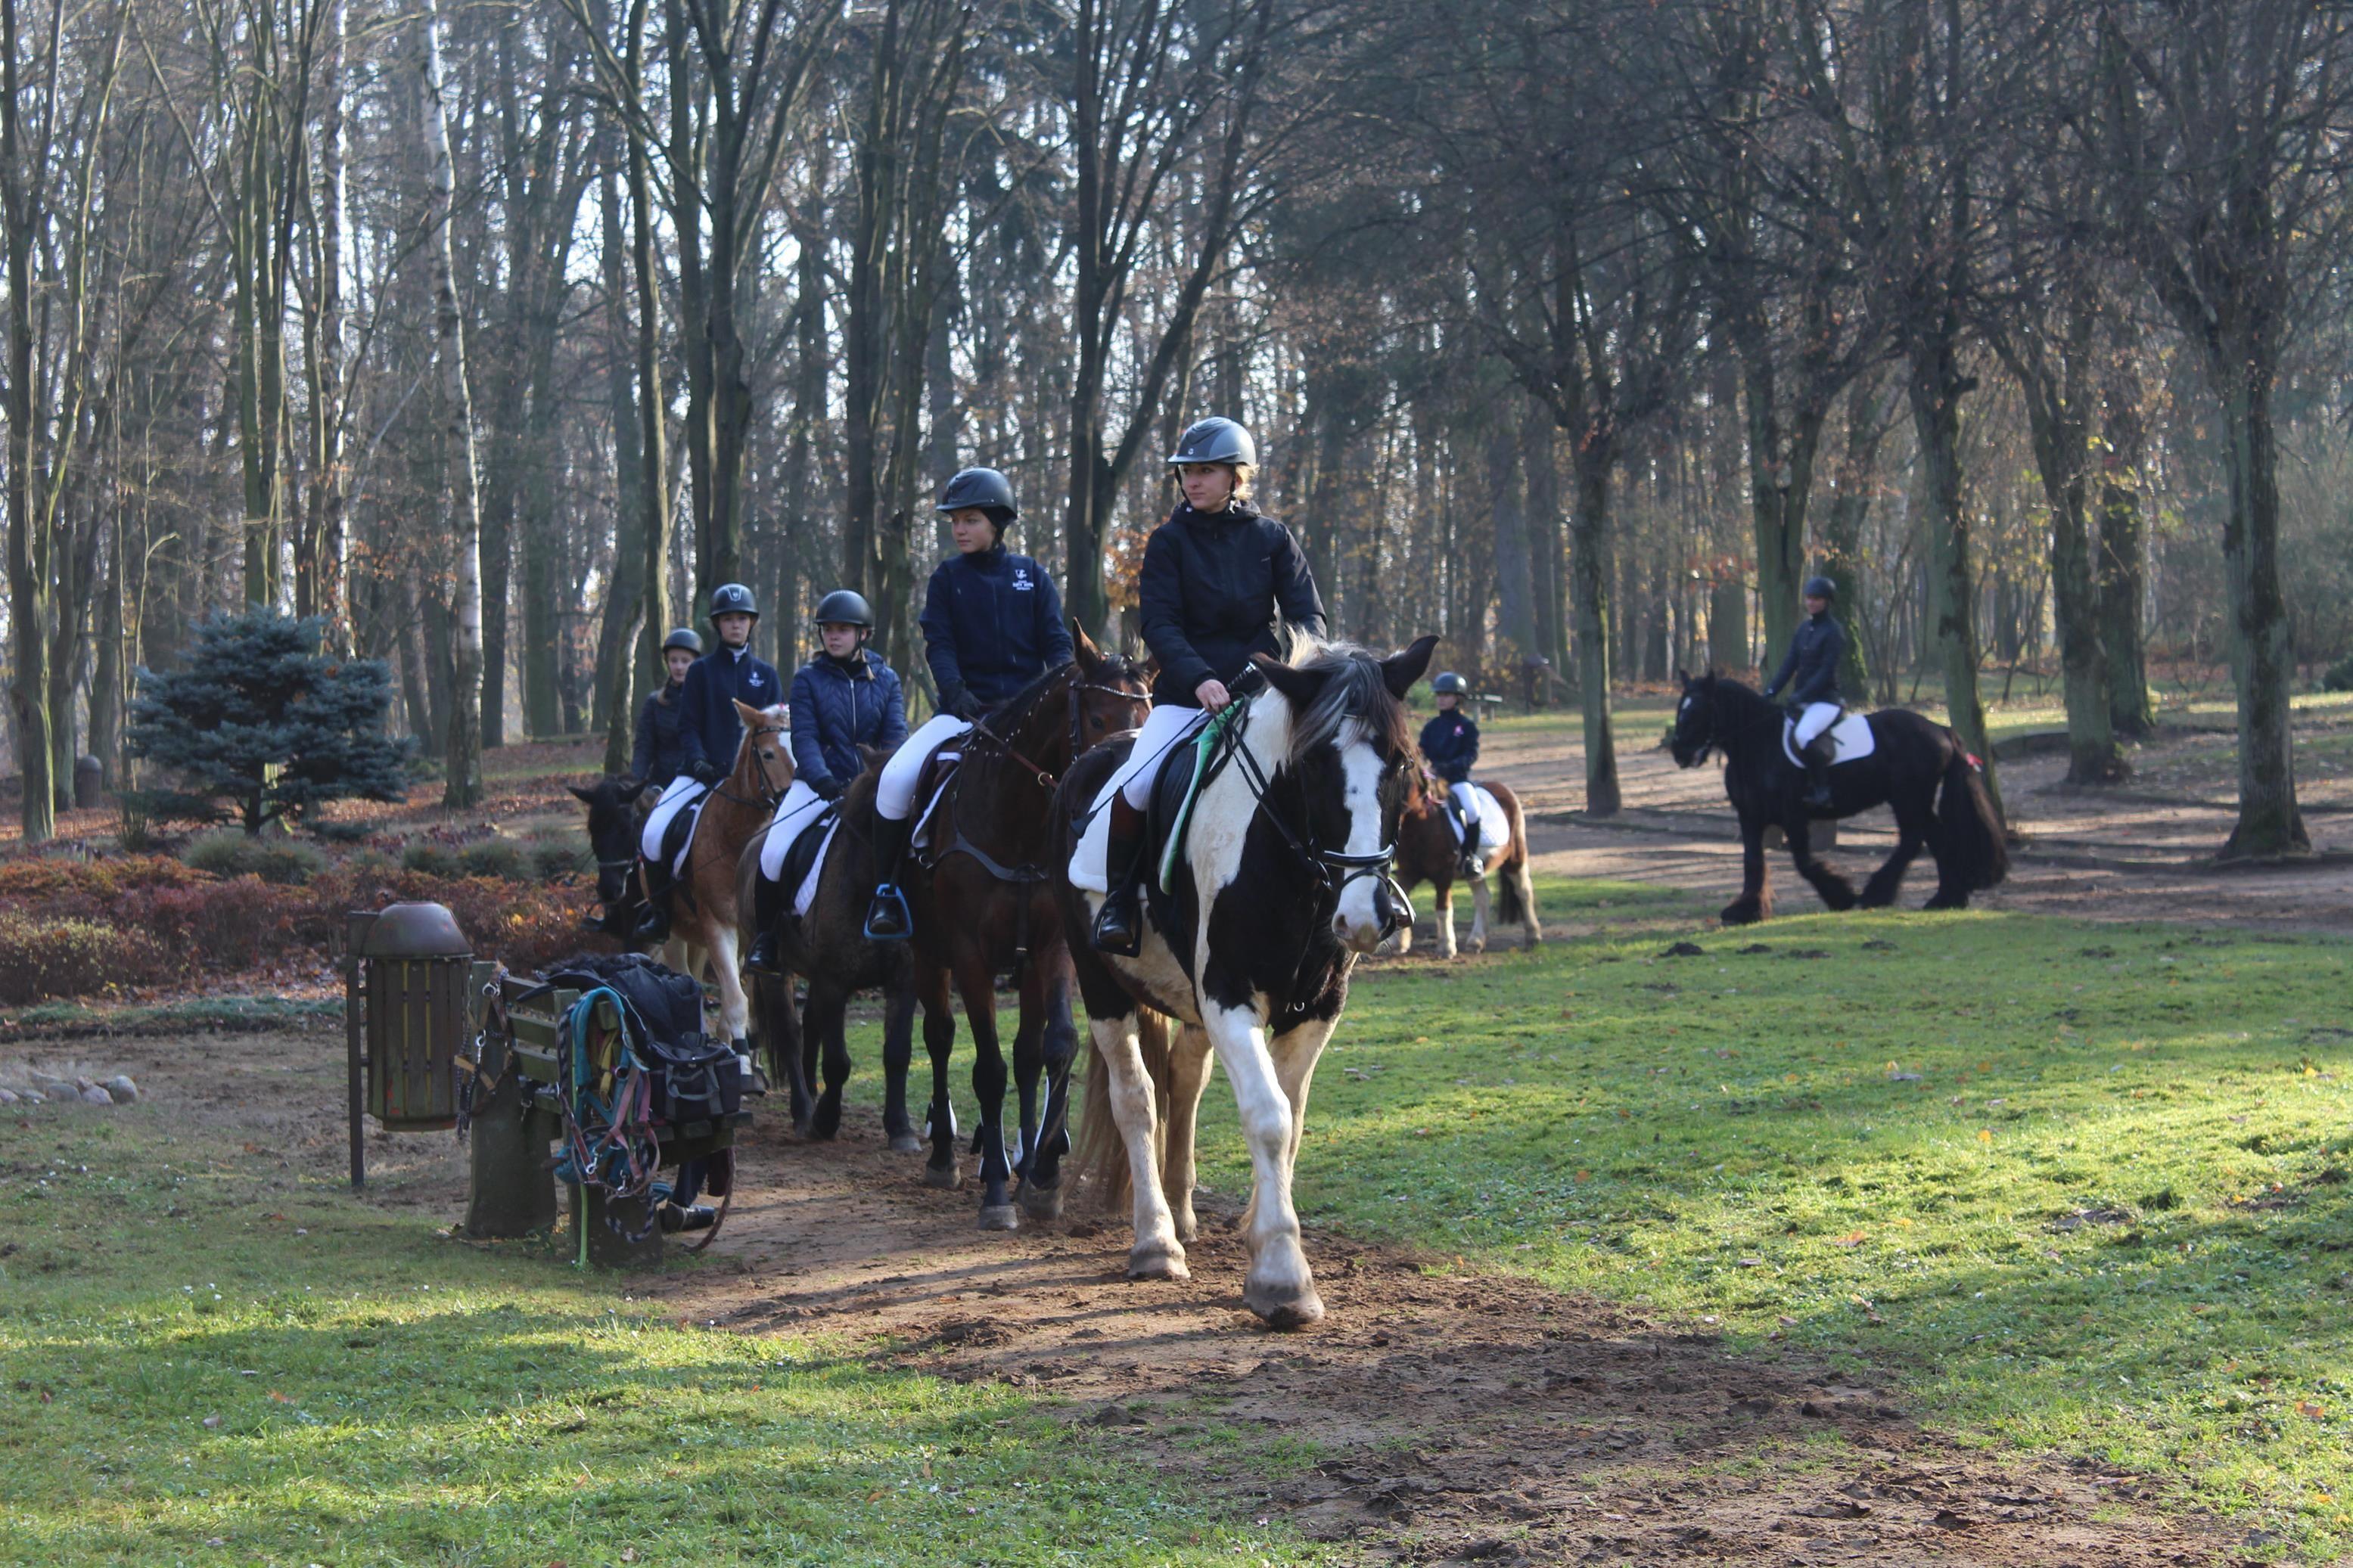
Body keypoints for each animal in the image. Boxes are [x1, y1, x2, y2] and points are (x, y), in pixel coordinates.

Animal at [894, 625, 1152, 1222]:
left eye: (1150, 713)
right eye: (1098, 717)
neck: (1016, 823)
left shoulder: (1052, 947)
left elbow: (1054, 1046)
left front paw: (1043, 1174)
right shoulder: (968, 954)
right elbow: (986, 1067)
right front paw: (994, 1188)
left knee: (1027, 1053)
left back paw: (1028, 1156)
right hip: (928, 954)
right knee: (939, 1037)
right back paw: (945, 1156)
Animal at [1063, 629, 1430, 1335]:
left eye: (1400, 762)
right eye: (1314, 763)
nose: (1366, 917)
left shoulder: (1317, 1008)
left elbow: (1293, 1116)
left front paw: (1263, 1236)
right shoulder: (1228, 997)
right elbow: (1269, 1117)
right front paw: (1283, 1278)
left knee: (1184, 1078)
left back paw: (1181, 1214)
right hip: (1102, 983)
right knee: (1137, 1098)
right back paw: (1156, 1241)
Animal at [1393, 771, 1543, 959]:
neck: (1420, 825)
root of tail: (1504, 789)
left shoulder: (1443, 875)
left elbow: (1443, 909)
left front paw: (1446, 947)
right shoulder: (1408, 872)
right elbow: (1399, 900)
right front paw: (1399, 943)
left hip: (1515, 858)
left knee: (1523, 892)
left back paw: (1533, 937)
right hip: (1477, 871)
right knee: (1483, 897)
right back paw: (1476, 942)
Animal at [1665, 667, 2014, 926]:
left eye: (1698, 709)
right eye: (1681, 706)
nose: (1679, 752)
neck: (1758, 745)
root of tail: (1941, 729)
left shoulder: (1794, 815)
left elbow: (1804, 862)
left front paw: (1840, 895)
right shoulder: (1749, 815)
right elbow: (1753, 861)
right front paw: (1746, 910)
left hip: (1909, 798)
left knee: (1915, 838)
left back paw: (1880, 893)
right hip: (1912, 800)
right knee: (1932, 838)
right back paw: (1944, 898)